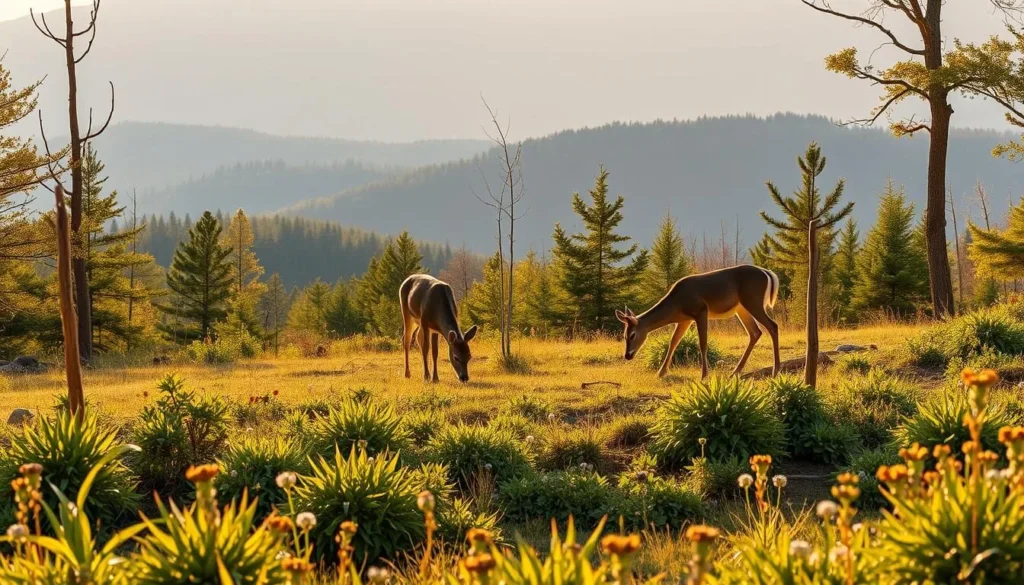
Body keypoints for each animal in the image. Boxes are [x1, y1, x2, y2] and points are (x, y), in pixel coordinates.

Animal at [615, 264, 781, 379]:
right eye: (624, 335)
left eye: (632, 335)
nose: (627, 355)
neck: (676, 304)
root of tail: (767, 272)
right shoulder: (684, 320)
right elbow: (673, 341)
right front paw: (661, 373)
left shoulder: (700, 310)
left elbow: (703, 343)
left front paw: (704, 375)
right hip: (741, 308)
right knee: (755, 332)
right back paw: (735, 372)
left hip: (753, 301)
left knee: (773, 326)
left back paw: (775, 370)